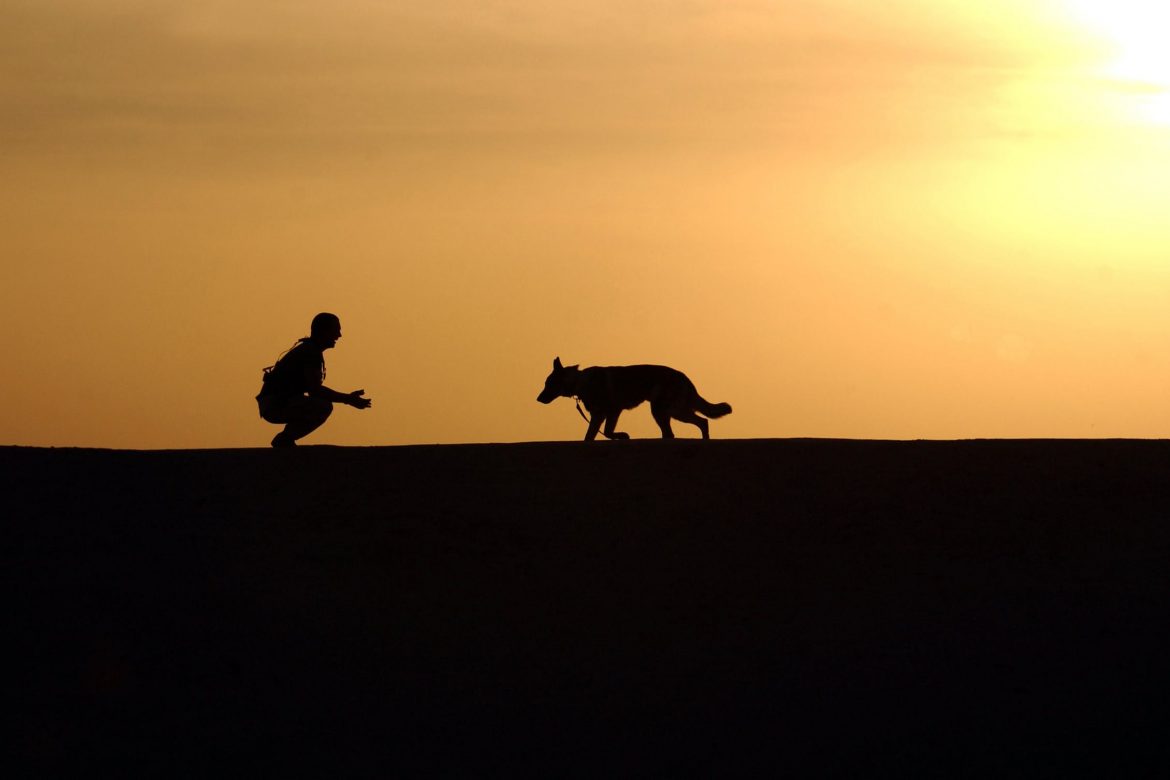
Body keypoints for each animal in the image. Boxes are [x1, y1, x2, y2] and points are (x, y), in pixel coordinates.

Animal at [535, 357, 730, 442]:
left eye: (548, 384)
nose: (538, 399)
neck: (579, 381)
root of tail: (685, 378)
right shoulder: (599, 416)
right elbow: (590, 436)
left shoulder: (611, 412)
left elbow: (607, 432)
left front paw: (621, 436)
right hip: (665, 411)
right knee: (679, 430)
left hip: (668, 411)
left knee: (701, 422)